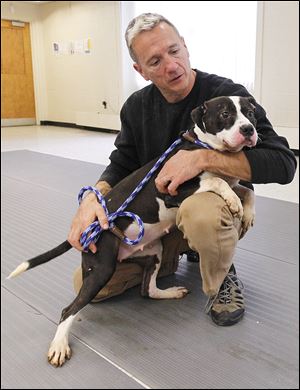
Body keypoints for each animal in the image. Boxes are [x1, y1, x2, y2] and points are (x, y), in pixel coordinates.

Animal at [7, 94, 258, 366]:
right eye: (225, 114)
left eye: (250, 113)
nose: (248, 129)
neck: (205, 147)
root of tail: (91, 229)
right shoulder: (172, 191)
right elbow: (217, 181)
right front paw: (232, 200)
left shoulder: (229, 181)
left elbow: (245, 189)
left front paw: (247, 211)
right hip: (101, 269)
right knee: (69, 310)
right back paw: (59, 345)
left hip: (154, 252)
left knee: (147, 290)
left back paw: (169, 292)